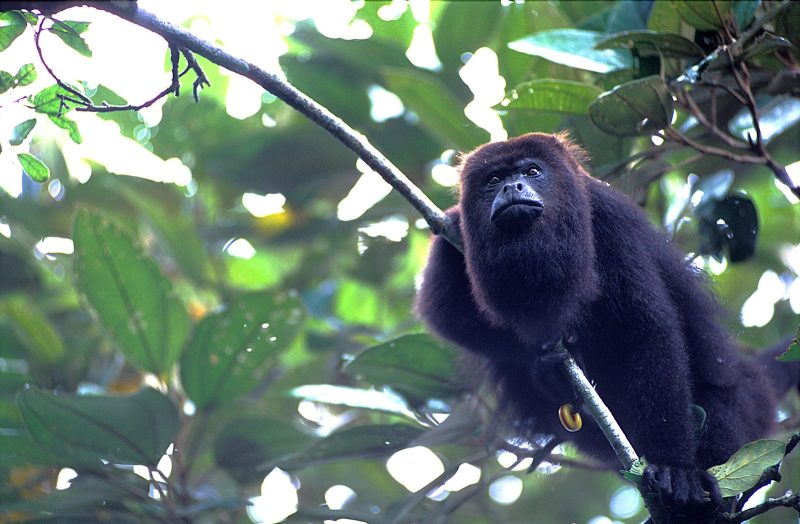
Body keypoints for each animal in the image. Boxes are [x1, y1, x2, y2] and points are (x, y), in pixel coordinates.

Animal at [416, 132, 798, 518]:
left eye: (532, 170)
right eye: (493, 179)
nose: (512, 186)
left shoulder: (609, 219)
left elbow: (646, 331)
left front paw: (675, 468)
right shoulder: (453, 230)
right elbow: (445, 316)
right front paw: (550, 367)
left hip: (743, 407)